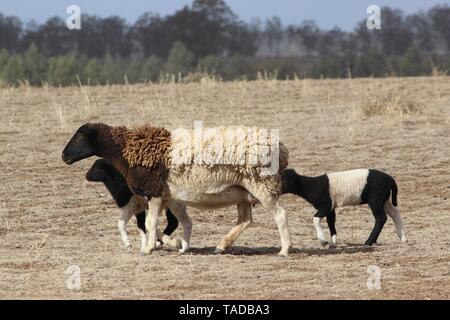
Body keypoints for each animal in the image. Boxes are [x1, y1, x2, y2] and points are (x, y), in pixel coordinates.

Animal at [61, 122, 290, 255]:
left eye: (80, 136)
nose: (64, 156)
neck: (127, 150)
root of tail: (280, 147)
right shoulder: (163, 196)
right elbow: (151, 224)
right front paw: (164, 243)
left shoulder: (153, 191)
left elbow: (150, 223)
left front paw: (150, 248)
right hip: (243, 191)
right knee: (244, 220)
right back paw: (221, 246)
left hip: (261, 183)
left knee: (279, 214)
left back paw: (285, 249)